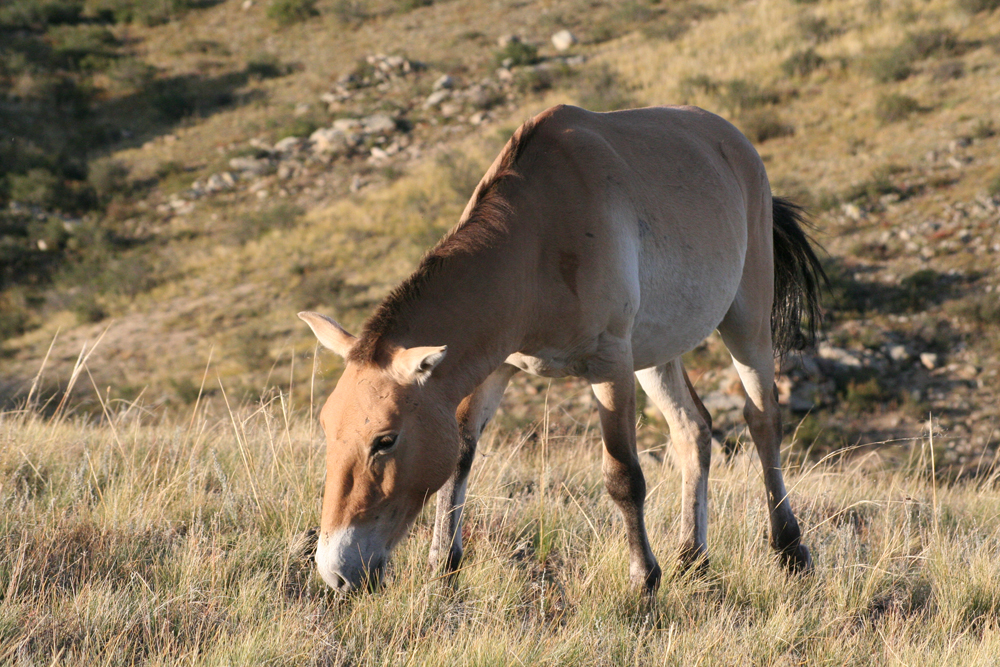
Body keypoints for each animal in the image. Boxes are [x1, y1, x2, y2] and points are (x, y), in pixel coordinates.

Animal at [298, 104, 828, 596]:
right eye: (326, 428)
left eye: (385, 440)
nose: (337, 571)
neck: (536, 236)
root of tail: (734, 141)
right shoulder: (494, 368)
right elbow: (461, 457)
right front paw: (443, 567)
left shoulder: (609, 363)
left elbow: (623, 476)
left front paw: (643, 580)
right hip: (655, 354)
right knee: (692, 429)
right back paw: (692, 558)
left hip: (746, 320)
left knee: (763, 419)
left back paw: (788, 548)